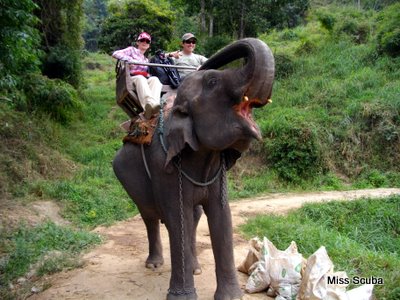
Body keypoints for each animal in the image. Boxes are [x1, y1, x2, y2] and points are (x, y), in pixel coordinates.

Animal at [113, 38, 276, 300]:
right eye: (212, 83)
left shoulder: (218, 170)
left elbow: (222, 217)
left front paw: (230, 297)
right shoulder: (164, 167)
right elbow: (177, 216)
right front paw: (182, 297)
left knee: (193, 215)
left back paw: (195, 268)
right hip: (128, 178)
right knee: (150, 214)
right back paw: (154, 264)